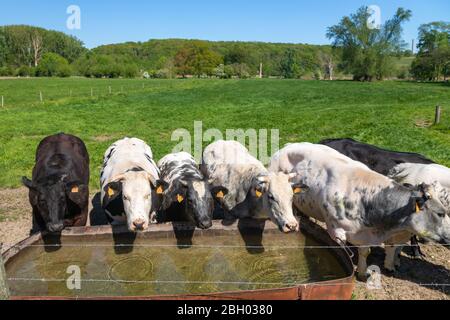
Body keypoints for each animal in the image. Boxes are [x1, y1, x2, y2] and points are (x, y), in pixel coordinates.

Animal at [268, 142, 448, 278]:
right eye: (440, 213)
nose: (449, 236)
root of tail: (287, 146)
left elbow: (367, 252)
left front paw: (364, 271)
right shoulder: (336, 231)